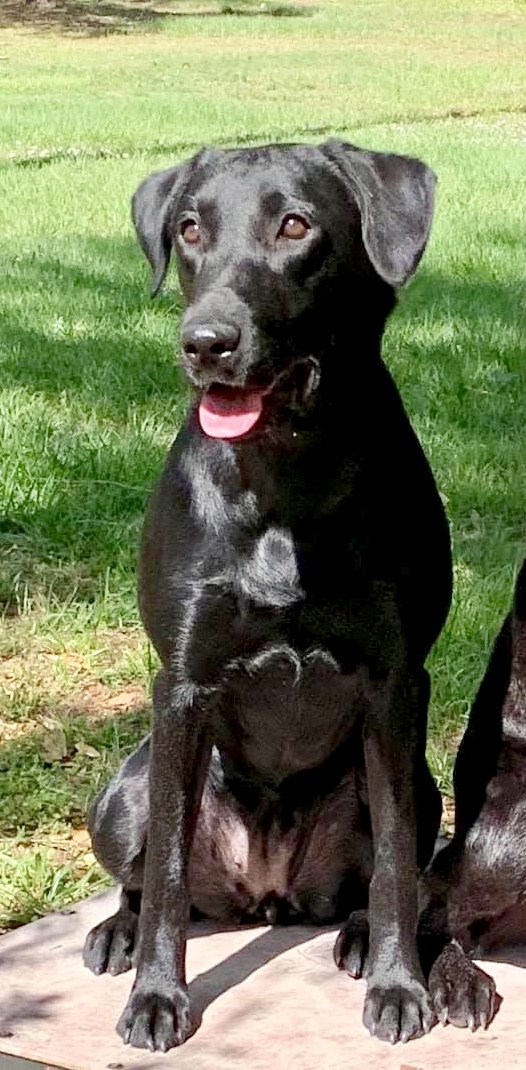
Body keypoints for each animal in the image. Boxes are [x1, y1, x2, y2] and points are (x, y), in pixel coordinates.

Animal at [84, 138, 453, 1048]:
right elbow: (169, 871)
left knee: (380, 868)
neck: (286, 472)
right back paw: (117, 931)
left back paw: (356, 936)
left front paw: (399, 984)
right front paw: (157, 996)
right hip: (122, 793)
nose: (205, 342)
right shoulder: (182, 685)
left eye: (295, 226)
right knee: (149, 870)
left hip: (421, 781)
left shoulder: (398, 682)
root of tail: (268, 895)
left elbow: (396, 862)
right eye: (189, 229)